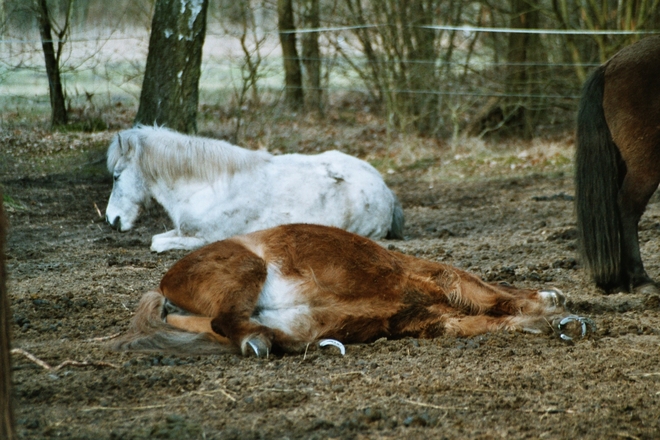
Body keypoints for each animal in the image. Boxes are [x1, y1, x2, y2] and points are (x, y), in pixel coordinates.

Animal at [104, 125, 402, 253]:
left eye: (117, 176)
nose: (111, 219)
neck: (210, 188)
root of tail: (384, 188)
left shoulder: (205, 238)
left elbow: (157, 244)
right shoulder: (184, 231)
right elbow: (157, 238)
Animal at [112, 223, 592, 358]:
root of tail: (164, 285)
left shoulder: (437, 319)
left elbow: (494, 320)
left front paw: (551, 321)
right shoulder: (445, 280)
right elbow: (498, 298)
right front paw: (555, 311)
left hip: (300, 322)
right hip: (246, 266)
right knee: (224, 318)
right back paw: (255, 342)